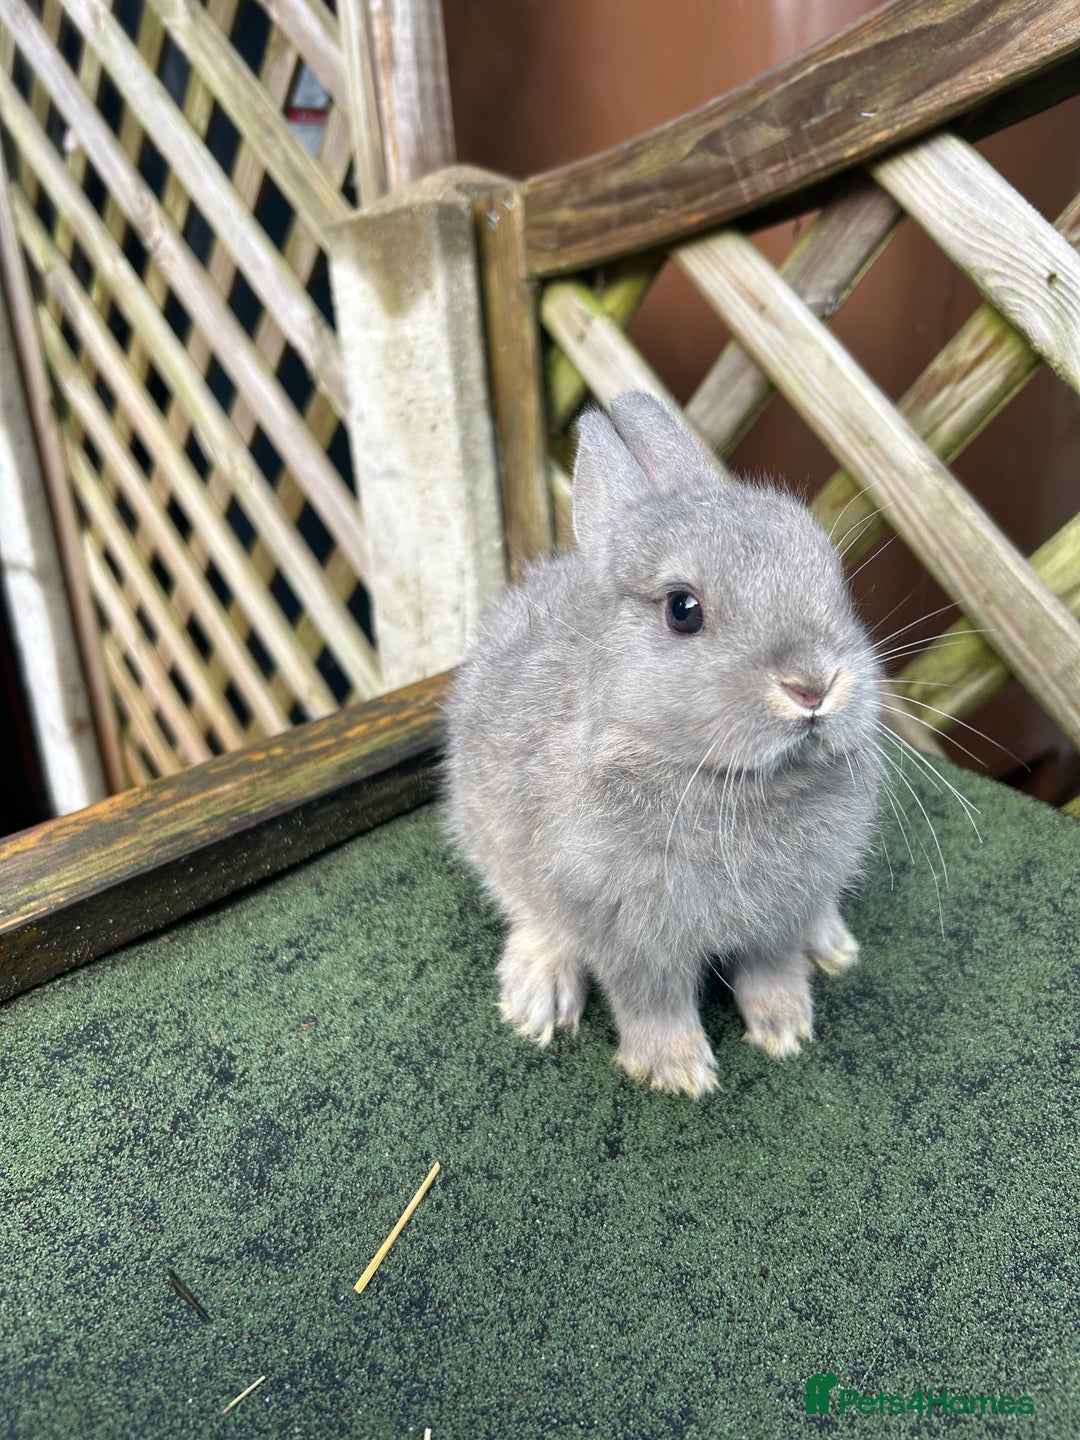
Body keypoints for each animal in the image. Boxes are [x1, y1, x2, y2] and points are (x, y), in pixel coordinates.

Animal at [443, 391, 883, 1097]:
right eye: (683, 609)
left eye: (834, 583)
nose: (814, 686)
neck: (726, 781)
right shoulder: (629, 935)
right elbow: (652, 1001)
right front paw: (678, 1072)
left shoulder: (779, 917)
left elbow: (773, 970)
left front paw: (786, 1031)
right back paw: (536, 999)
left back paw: (833, 945)